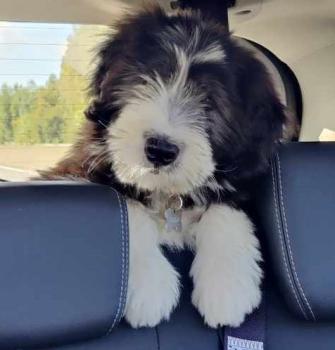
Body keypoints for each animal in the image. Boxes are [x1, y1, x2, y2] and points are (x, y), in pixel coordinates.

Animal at [40, 6, 300, 328]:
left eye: (209, 101)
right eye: (145, 79)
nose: (160, 150)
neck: (166, 194)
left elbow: (225, 208)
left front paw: (227, 289)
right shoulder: (74, 170)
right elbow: (128, 208)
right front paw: (150, 289)